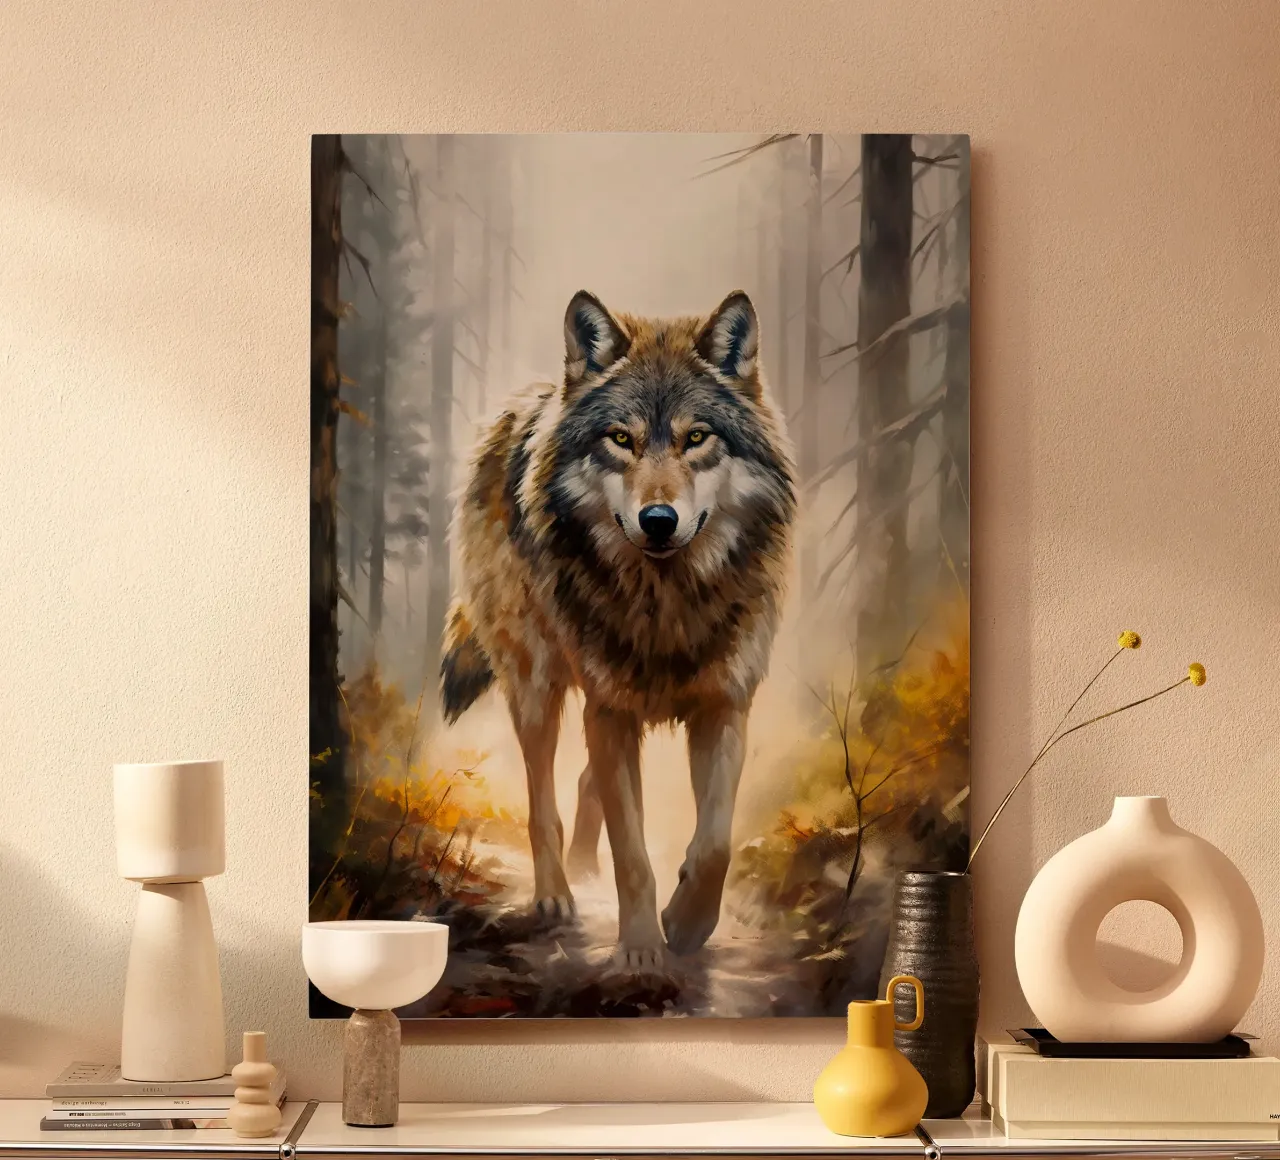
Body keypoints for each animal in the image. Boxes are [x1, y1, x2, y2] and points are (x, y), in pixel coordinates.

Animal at [441, 289, 796, 969]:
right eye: (621, 439)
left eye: (696, 437)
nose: (658, 520)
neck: (666, 604)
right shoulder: (609, 709)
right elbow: (631, 852)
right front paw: (640, 951)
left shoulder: (723, 705)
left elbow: (715, 845)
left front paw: (685, 923)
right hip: (537, 686)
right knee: (543, 800)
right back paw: (556, 894)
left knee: (587, 783)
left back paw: (584, 867)